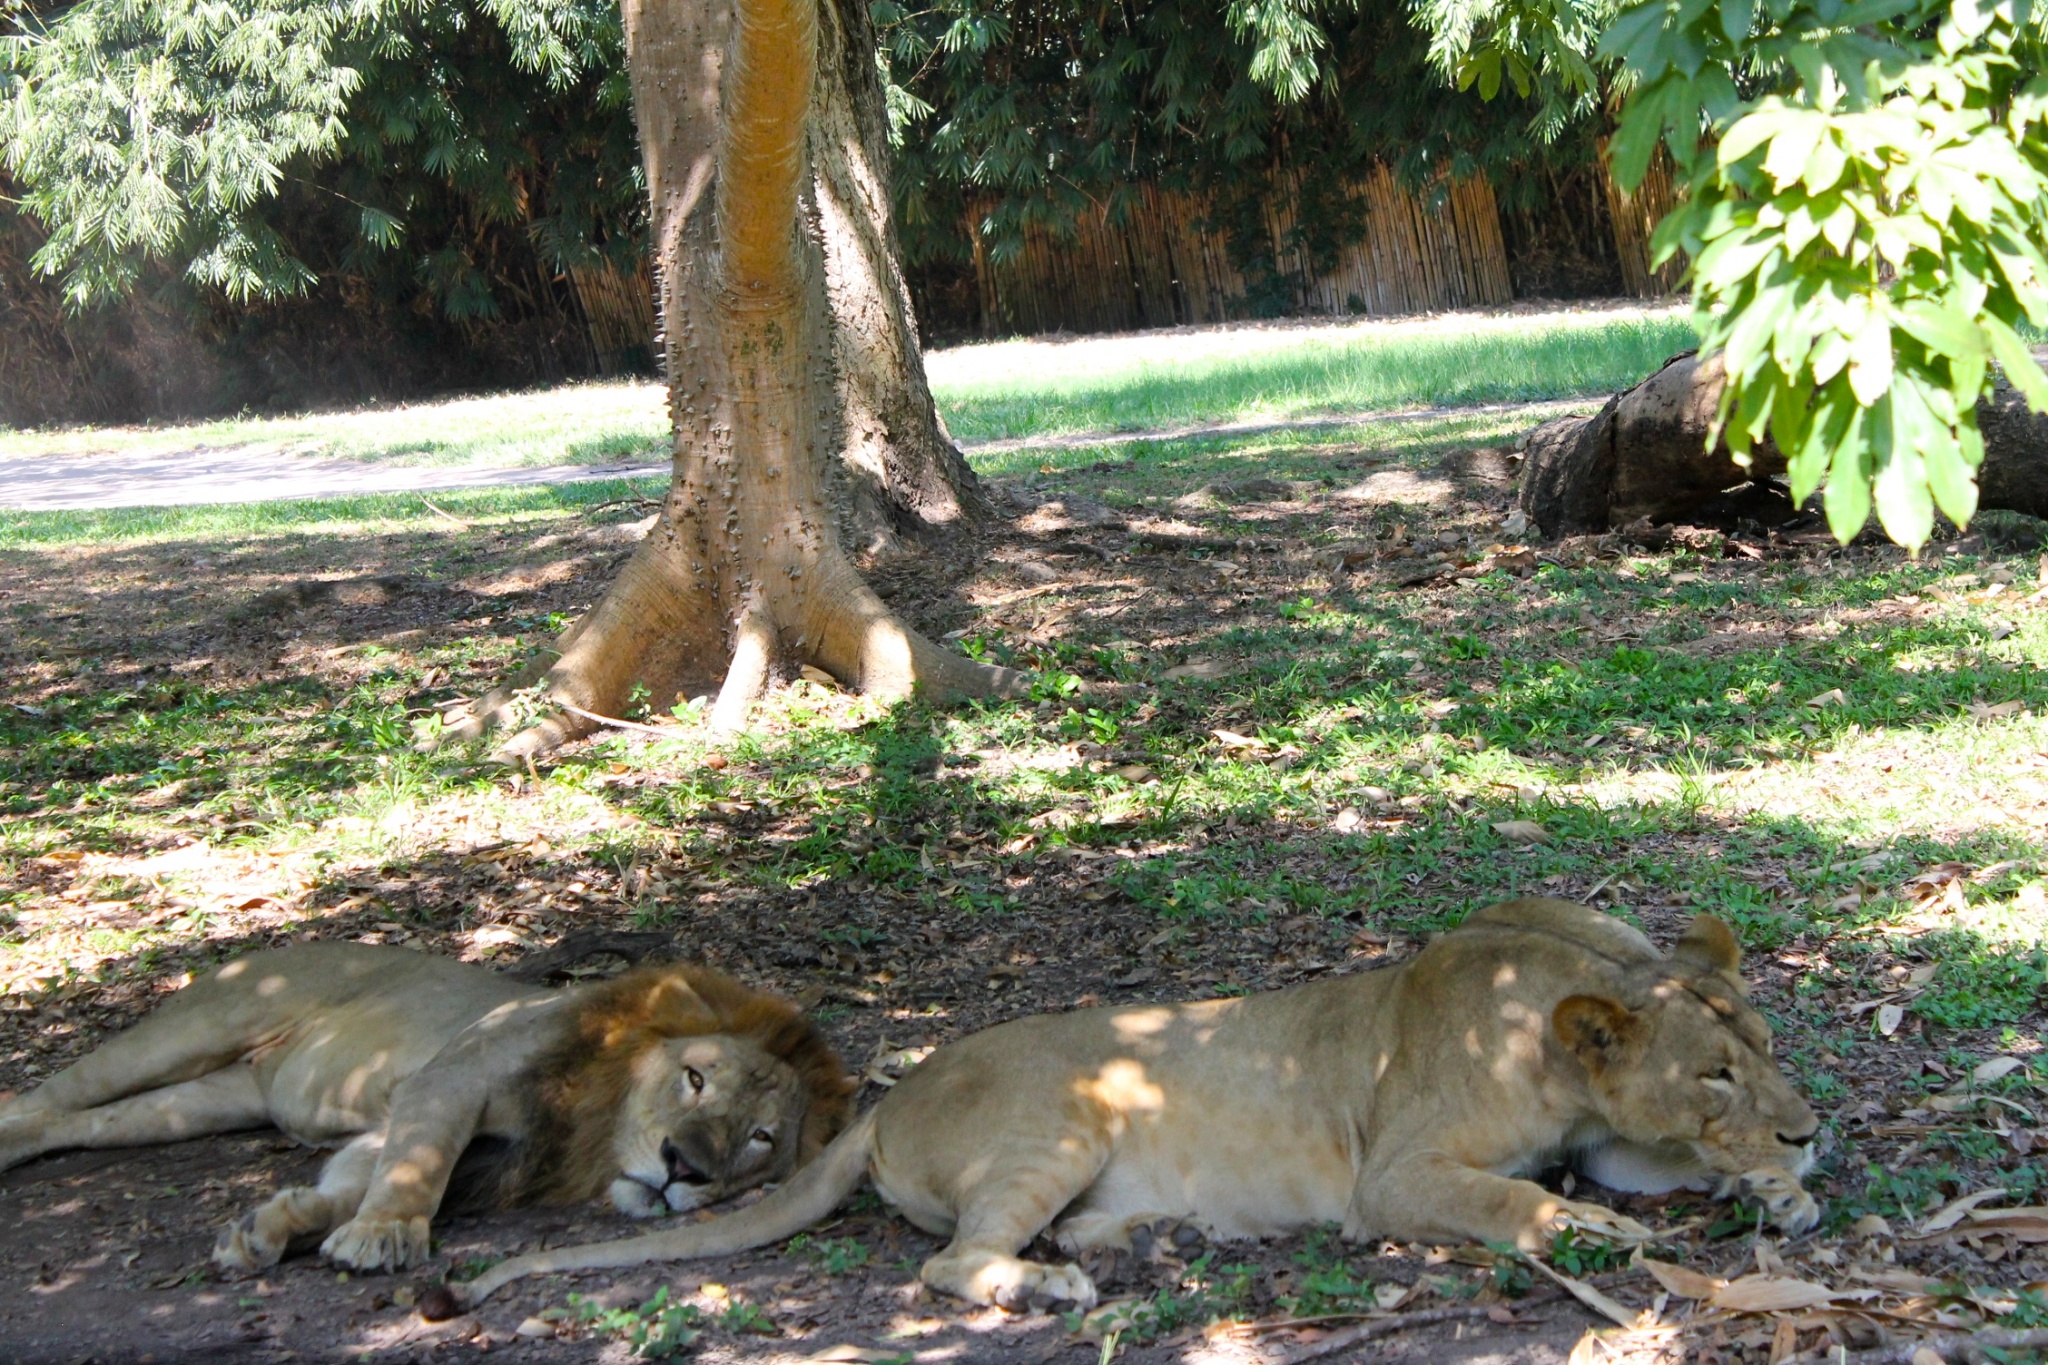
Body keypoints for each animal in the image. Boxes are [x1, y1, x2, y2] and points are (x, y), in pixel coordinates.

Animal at [0, 945, 851, 1277]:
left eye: (760, 1137)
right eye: (695, 1077)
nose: (684, 1169)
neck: (588, 1122)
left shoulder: (439, 1140)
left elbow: (357, 1178)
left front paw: (268, 1227)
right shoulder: (451, 1079)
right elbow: (421, 1166)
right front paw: (381, 1236)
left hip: (208, 1098)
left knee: (75, 1124)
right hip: (197, 1028)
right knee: (46, 1096)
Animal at [444, 896, 1810, 1309]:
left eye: (1764, 1050)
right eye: (1713, 1070)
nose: (1805, 1126)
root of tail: (882, 1102)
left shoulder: (1609, 1131)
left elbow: (1659, 1166)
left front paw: (1775, 1187)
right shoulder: (1396, 1178)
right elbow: (1511, 1201)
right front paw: (1591, 1229)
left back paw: (1142, 1238)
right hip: (1064, 1115)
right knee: (949, 1264)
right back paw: (1043, 1286)